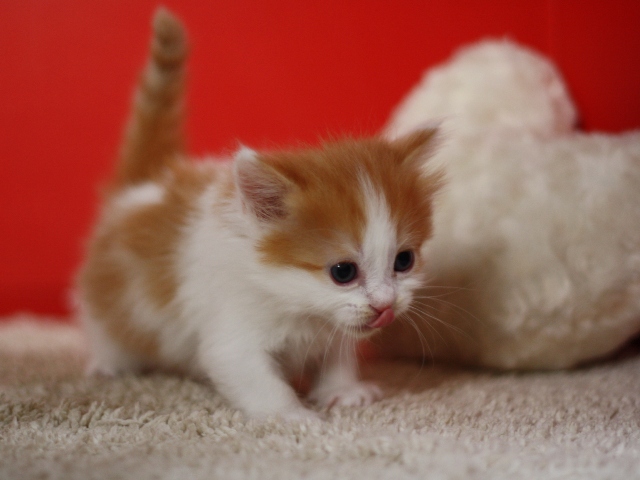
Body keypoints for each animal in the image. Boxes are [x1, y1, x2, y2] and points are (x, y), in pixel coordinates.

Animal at [77, 8, 442, 420]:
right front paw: (293, 415)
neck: (298, 307)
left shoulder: (336, 328)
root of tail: (147, 183)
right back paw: (107, 364)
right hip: (111, 298)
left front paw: (343, 391)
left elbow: (338, 355)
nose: (385, 306)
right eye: (343, 272)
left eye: (404, 261)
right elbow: (257, 379)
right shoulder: (233, 331)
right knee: (104, 325)